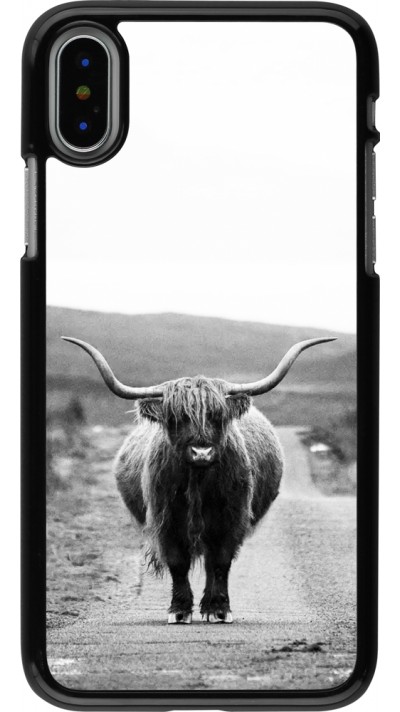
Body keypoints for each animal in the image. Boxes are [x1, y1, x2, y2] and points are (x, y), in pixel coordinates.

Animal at [62, 335, 335, 624]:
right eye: (177, 418)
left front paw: (218, 608)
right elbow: (178, 563)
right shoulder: (166, 520)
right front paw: (179, 610)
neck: (198, 481)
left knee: (211, 562)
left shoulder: (231, 519)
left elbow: (221, 562)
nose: (201, 452)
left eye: (217, 416)